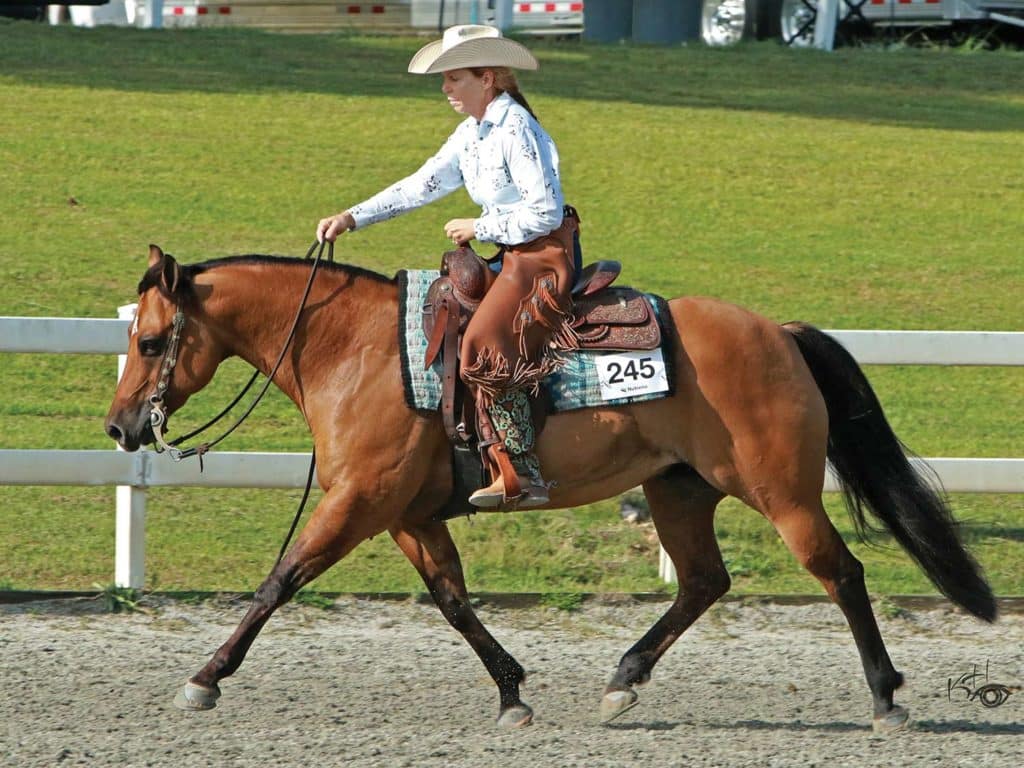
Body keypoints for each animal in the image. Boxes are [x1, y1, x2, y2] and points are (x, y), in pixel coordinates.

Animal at [108, 246, 995, 733]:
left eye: (150, 341)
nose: (120, 427)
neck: (355, 348)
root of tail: (776, 334)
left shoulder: (358, 502)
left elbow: (279, 582)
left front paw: (204, 679)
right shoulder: (407, 515)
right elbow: (454, 601)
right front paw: (512, 693)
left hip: (783, 495)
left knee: (840, 574)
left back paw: (885, 697)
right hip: (679, 492)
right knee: (702, 582)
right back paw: (623, 680)